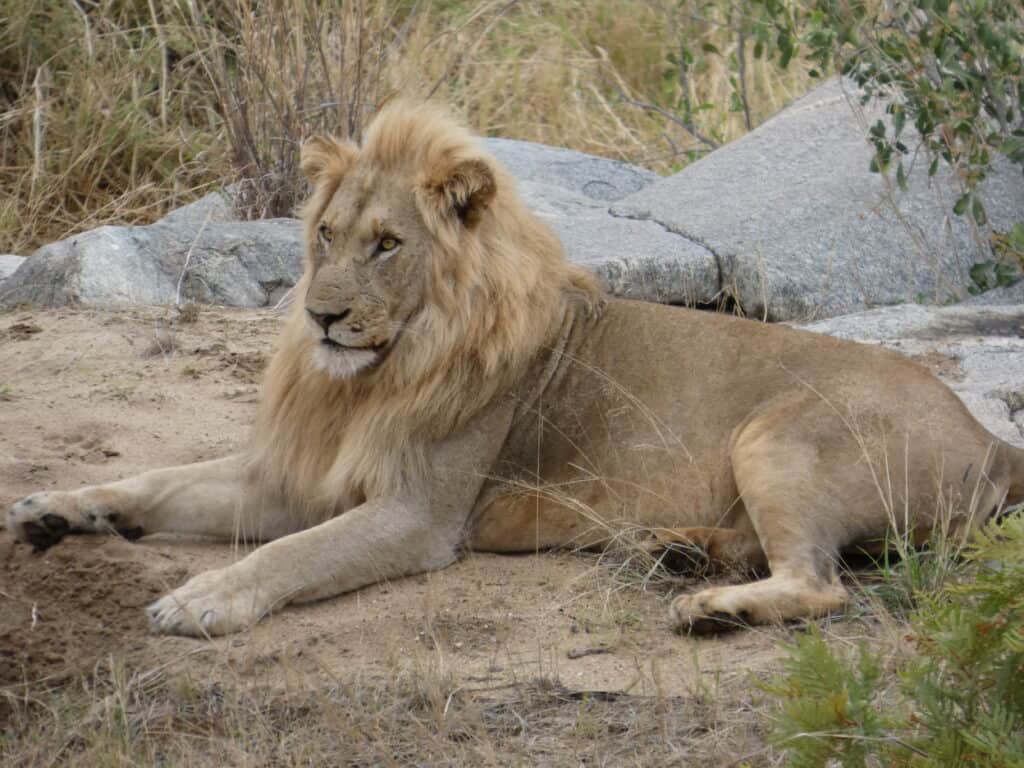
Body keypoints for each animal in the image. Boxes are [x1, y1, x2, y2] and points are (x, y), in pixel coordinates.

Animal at [7, 100, 1024, 638]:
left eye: (388, 245)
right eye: (326, 235)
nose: (322, 315)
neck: (374, 374)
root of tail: (988, 434)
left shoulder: (419, 516)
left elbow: (292, 554)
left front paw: (202, 598)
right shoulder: (295, 476)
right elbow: (161, 481)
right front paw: (57, 508)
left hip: (777, 434)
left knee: (820, 583)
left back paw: (706, 605)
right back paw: (679, 553)